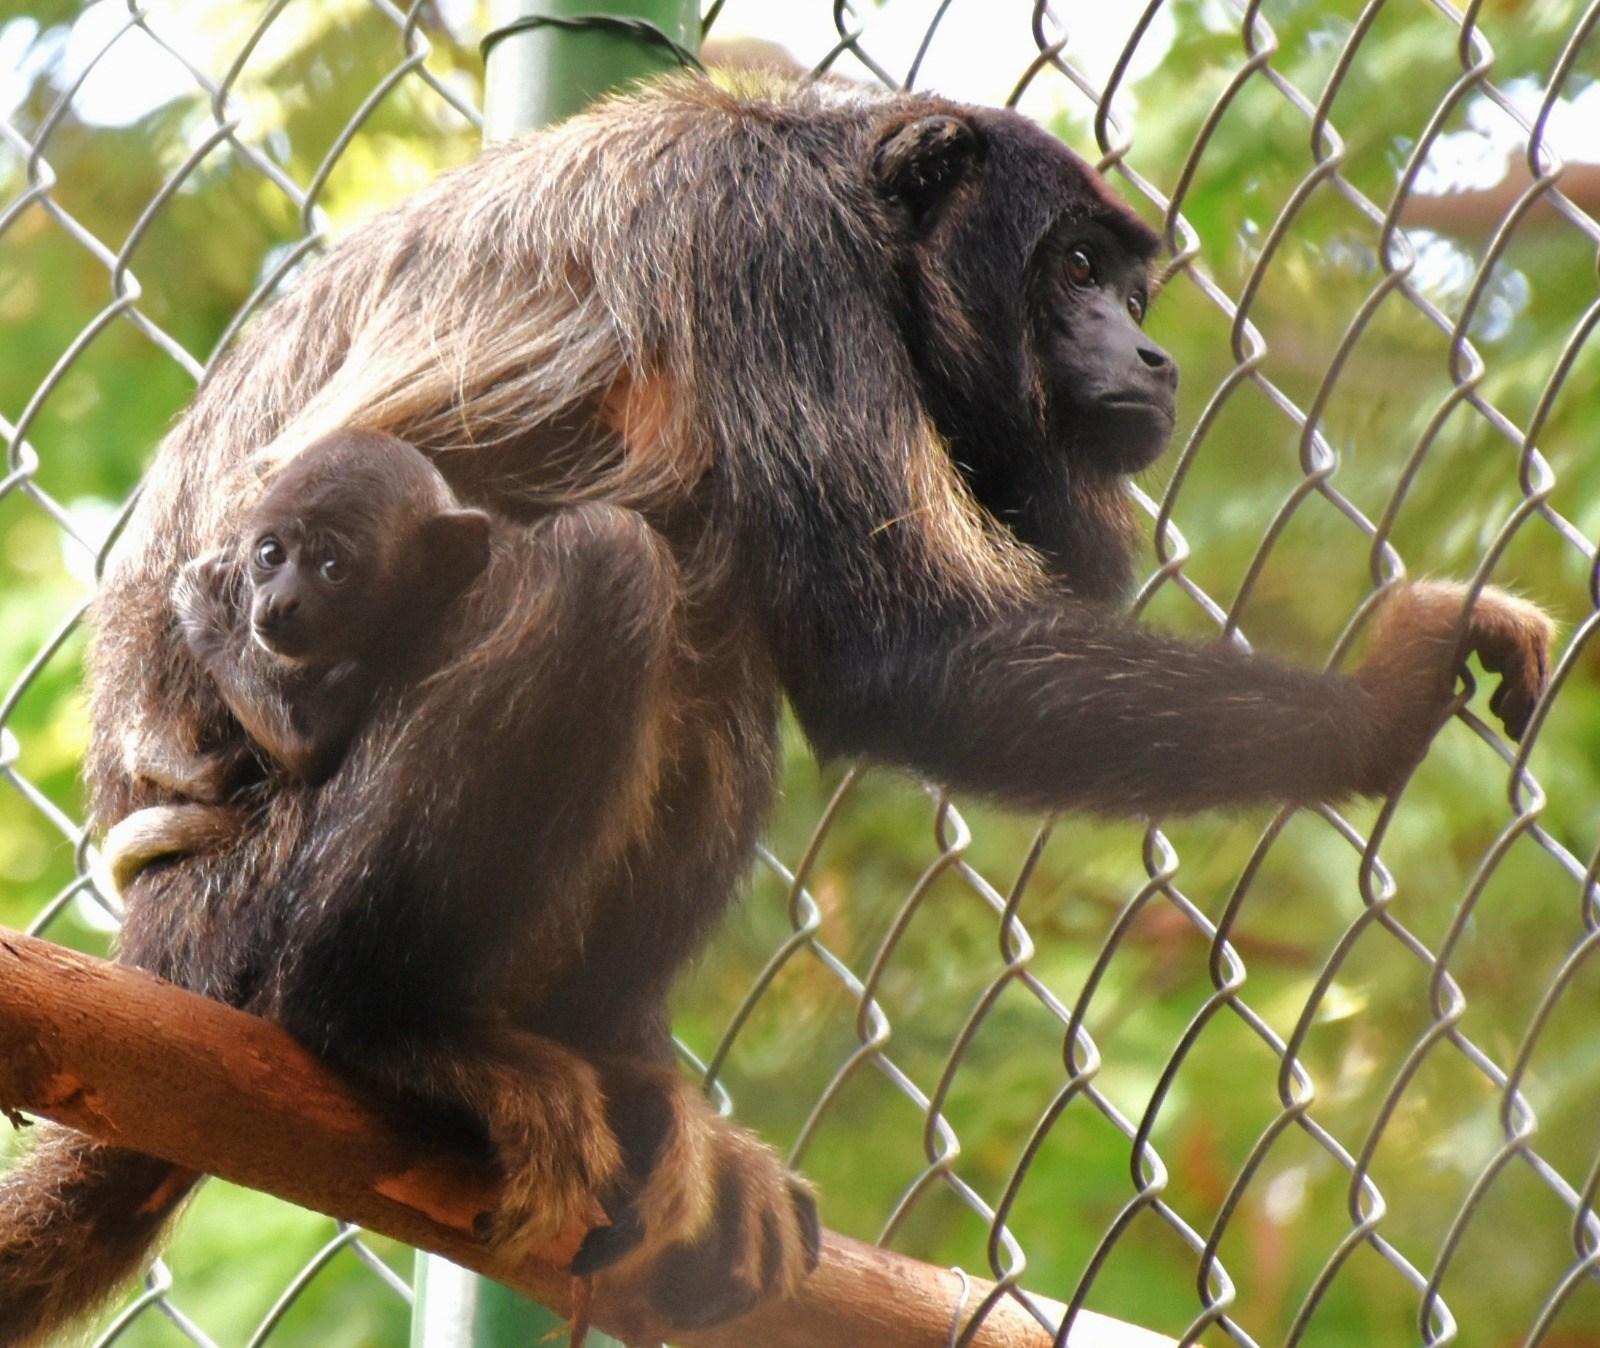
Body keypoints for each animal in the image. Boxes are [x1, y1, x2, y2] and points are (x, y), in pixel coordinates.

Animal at [0, 72, 1551, 1346]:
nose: (1154, 358)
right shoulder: (766, 251)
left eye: (1131, 288)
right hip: (235, 914)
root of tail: (148, 921)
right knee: (616, 575)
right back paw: (378, 1029)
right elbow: (909, 651)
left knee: (712, 656)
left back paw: (621, 1068)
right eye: (1071, 269)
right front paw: (1387, 698)